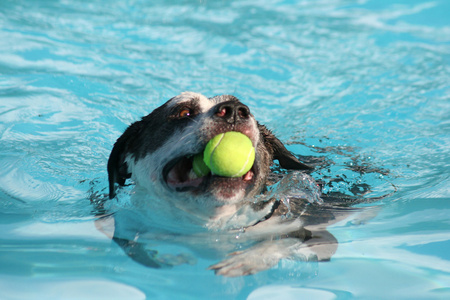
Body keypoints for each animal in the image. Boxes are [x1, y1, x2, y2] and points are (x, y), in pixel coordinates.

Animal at [105, 91, 362, 276]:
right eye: (184, 112)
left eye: (245, 111)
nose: (235, 111)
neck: (213, 224)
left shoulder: (316, 234)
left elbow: (286, 242)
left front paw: (247, 259)